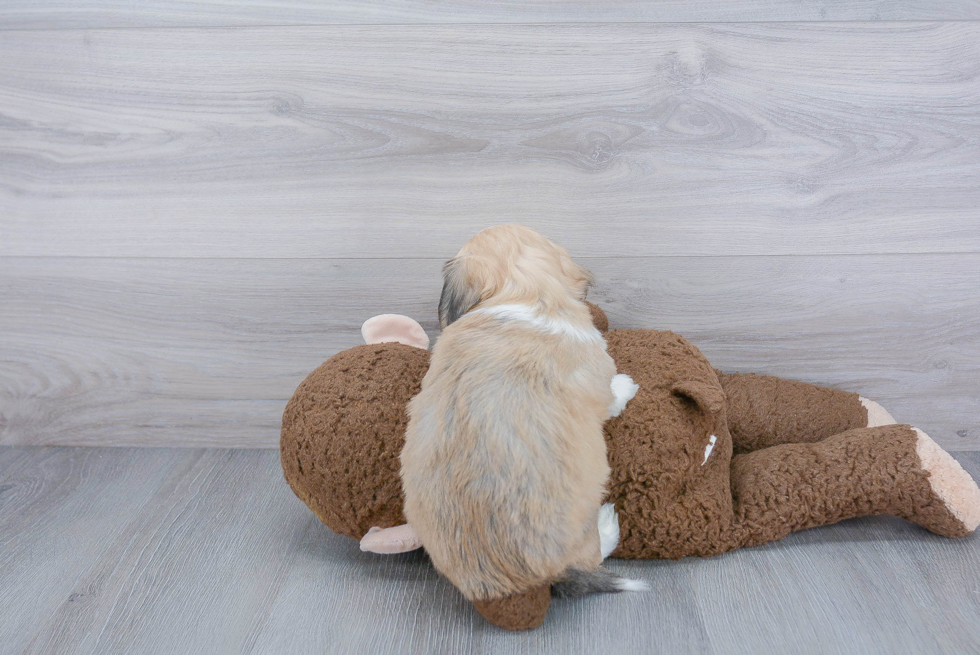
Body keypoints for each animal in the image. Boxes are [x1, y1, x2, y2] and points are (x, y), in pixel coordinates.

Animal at [398, 223, 644, 604]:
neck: (525, 293)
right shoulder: (599, 379)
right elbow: (613, 393)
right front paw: (627, 385)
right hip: (584, 532)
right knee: (594, 553)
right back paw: (608, 523)